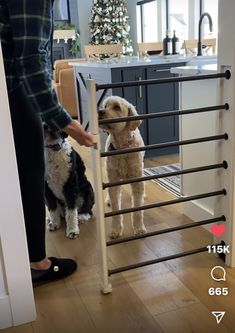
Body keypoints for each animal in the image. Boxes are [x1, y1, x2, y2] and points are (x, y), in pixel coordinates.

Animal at [98, 94, 146, 237]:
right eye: (105, 105)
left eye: (117, 107)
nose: (100, 111)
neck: (122, 147)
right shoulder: (113, 180)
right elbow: (116, 209)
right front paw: (116, 229)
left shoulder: (137, 179)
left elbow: (138, 210)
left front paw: (139, 228)